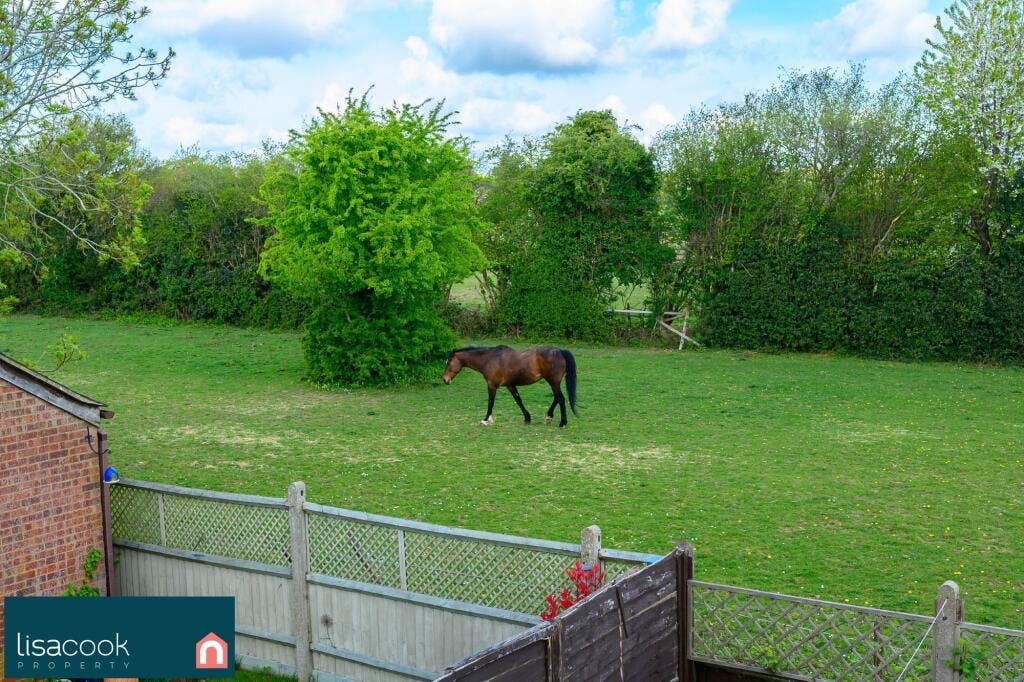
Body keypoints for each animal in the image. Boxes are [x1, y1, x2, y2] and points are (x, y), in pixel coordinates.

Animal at [441, 345, 578, 427]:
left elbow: (490, 402)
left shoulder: (492, 385)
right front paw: (527, 418)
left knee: (560, 399)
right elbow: (518, 400)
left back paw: (562, 422)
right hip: (553, 382)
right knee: (556, 398)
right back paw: (549, 416)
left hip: (553, 382)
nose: (445, 379)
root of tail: (560, 351)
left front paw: (486, 420)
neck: (489, 359)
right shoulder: (510, 385)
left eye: (448, 363)